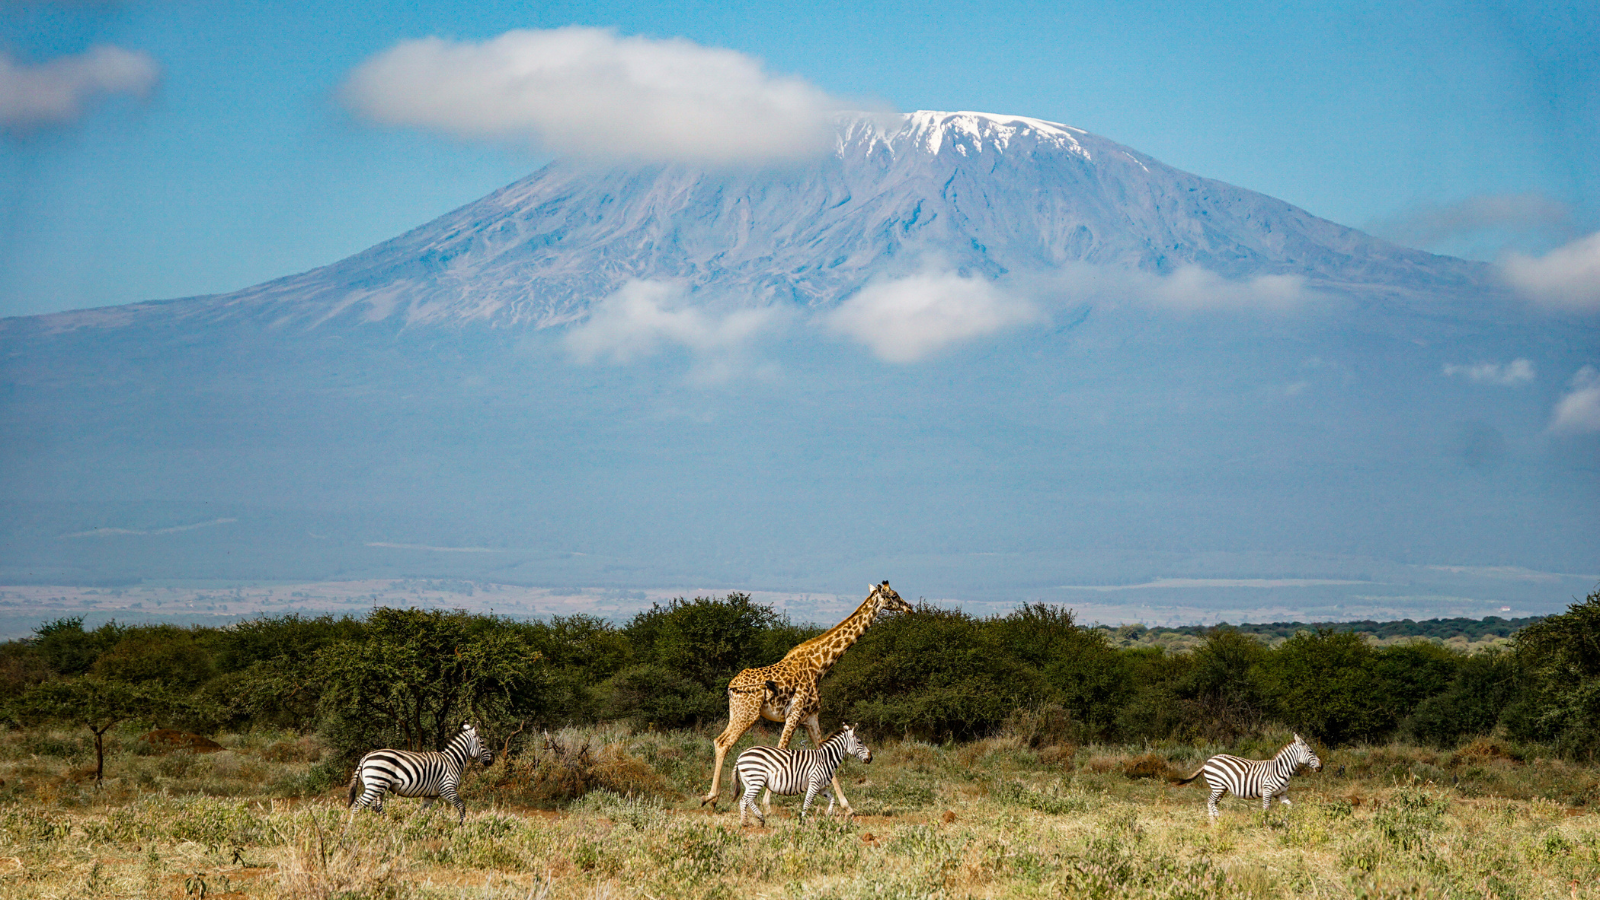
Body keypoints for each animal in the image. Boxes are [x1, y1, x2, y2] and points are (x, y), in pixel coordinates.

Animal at [350, 720, 492, 819]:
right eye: (482, 742)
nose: (493, 758)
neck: (452, 761)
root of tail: (365, 758)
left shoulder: (431, 795)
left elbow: (422, 813)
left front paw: (419, 828)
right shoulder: (447, 788)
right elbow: (462, 807)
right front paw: (461, 828)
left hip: (378, 787)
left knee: (377, 808)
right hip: (375, 784)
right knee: (358, 805)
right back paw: (352, 828)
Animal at [700, 582, 915, 813]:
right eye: (894, 596)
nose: (909, 608)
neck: (820, 666)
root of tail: (731, 686)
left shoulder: (811, 717)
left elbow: (825, 754)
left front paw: (847, 807)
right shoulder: (794, 715)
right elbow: (781, 750)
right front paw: (767, 803)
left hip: (738, 713)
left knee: (719, 740)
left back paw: (712, 799)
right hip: (748, 714)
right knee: (724, 743)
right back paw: (711, 797)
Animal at [736, 723, 876, 826]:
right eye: (859, 742)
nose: (871, 758)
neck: (825, 759)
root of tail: (741, 755)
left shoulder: (821, 787)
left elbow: (832, 799)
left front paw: (828, 814)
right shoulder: (814, 783)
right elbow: (808, 802)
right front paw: (802, 820)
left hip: (749, 782)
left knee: (743, 800)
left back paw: (745, 822)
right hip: (757, 780)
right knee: (748, 799)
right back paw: (760, 818)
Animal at [1177, 733, 1324, 816]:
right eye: (1311, 751)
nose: (1321, 766)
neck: (1281, 769)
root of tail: (1208, 761)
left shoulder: (1281, 794)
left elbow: (1292, 807)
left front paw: (1296, 819)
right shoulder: (1267, 791)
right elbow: (1266, 810)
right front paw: (1266, 826)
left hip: (1221, 788)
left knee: (1212, 803)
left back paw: (1213, 822)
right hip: (1217, 785)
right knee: (1210, 801)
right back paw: (1217, 820)